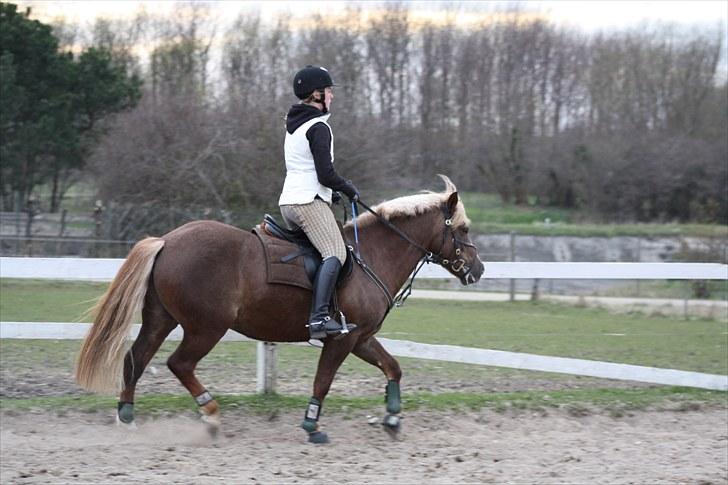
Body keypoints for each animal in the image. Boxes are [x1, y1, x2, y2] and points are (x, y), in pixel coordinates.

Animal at [75, 177, 484, 442]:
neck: (371, 255)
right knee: (180, 364)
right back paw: (210, 415)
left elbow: (393, 367)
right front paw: (312, 426)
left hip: (161, 320)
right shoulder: (342, 340)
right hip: (206, 328)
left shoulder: (361, 338)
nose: (478, 270)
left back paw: (127, 416)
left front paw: (394, 418)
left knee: (136, 358)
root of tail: (167, 240)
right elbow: (323, 381)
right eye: (463, 229)